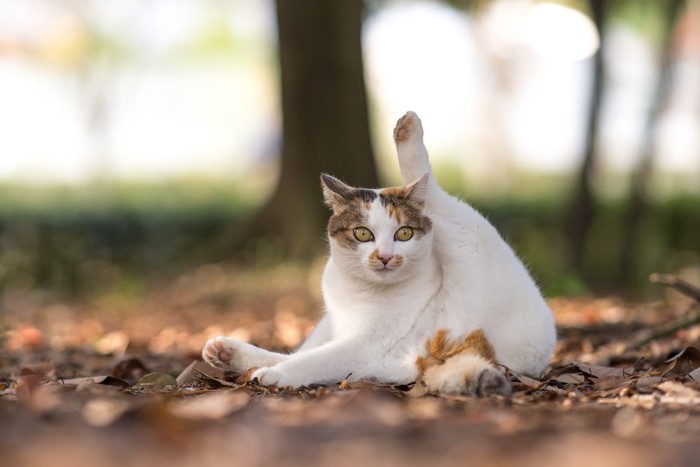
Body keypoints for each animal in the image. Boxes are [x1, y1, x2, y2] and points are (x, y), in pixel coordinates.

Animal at [202, 111, 556, 396]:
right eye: (363, 234)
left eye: (404, 234)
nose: (385, 256)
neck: (357, 291)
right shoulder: (339, 328)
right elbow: (304, 352)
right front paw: (238, 356)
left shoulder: (365, 346)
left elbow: (314, 359)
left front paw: (276, 375)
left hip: (470, 236)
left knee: (436, 195)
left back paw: (409, 132)